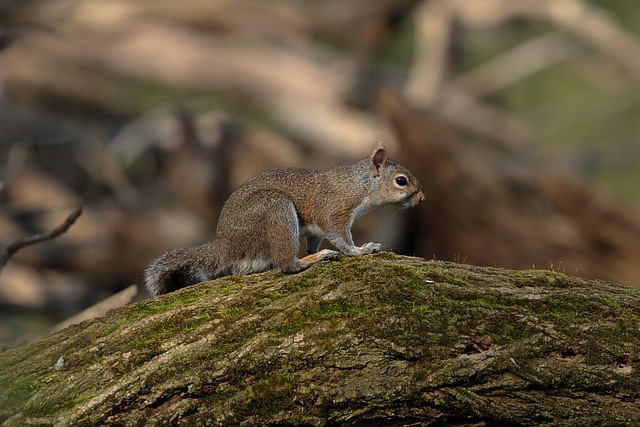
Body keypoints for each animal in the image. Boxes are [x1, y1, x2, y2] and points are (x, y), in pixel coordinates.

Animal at [145, 142, 424, 296]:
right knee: (286, 264)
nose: (422, 198)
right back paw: (313, 259)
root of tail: (225, 245)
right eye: (401, 181)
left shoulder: (315, 230)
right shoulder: (334, 210)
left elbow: (314, 239)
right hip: (275, 209)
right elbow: (341, 237)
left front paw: (317, 250)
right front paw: (361, 250)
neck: (359, 185)